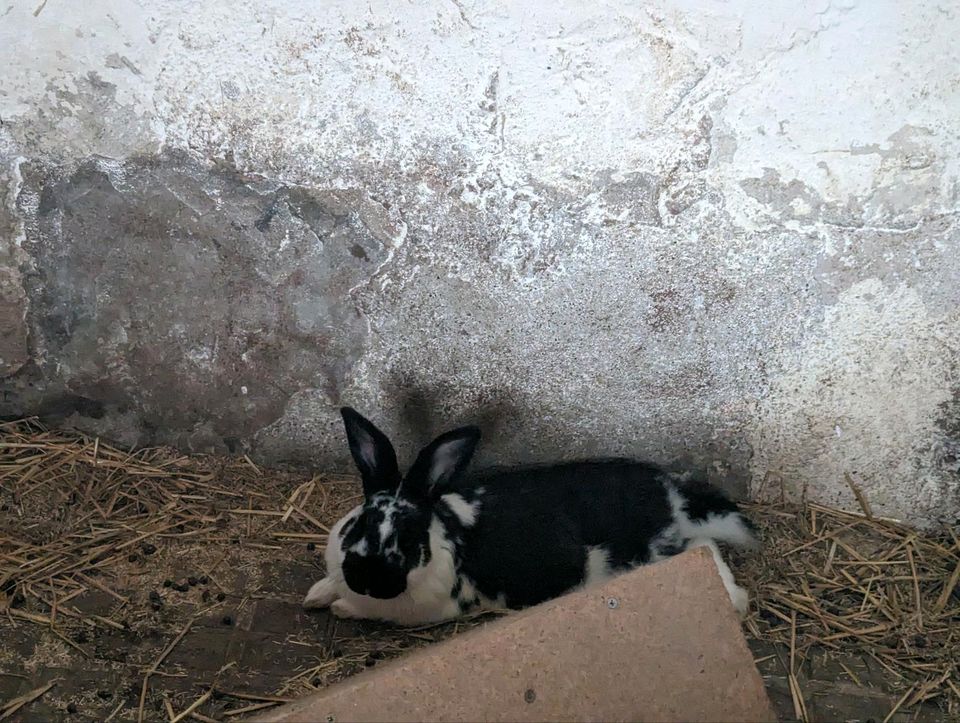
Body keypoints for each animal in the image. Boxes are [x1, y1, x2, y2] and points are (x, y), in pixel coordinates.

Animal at [302, 410, 756, 624]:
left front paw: (340, 607)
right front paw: (316, 595)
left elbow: (366, 610)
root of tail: (669, 495)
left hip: (647, 554)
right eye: (359, 523)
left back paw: (736, 602)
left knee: (703, 546)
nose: (369, 579)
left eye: (411, 537)